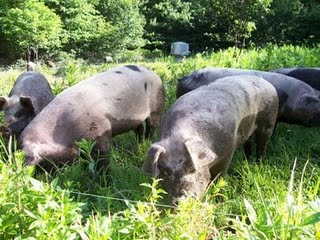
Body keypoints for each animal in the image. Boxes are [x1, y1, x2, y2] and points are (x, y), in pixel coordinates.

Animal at [20, 64, 165, 169]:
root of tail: (155, 74)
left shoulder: (101, 129)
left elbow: (103, 156)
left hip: (157, 106)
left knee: (151, 126)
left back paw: (146, 142)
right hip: (136, 118)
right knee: (139, 129)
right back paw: (139, 144)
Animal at [143, 76, 278, 203]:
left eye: (192, 167)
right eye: (165, 171)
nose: (181, 199)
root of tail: (267, 82)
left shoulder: (227, 151)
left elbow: (219, 177)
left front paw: (221, 200)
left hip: (269, 119)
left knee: (262, 143)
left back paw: (258, 163)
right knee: (248, 143)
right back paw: (248, 160)